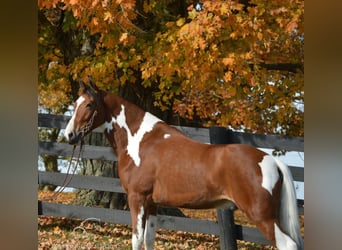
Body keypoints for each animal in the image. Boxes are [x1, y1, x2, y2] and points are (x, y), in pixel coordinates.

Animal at [63, 79, 302, 250]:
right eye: (74, 104)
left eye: (89, 105)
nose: (69, 135)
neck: (142, 141)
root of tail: (272, 160)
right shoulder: (152, 203)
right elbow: (149, 239)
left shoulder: (137, 198)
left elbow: (136, 240)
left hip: (262, 217)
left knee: (287, 245)